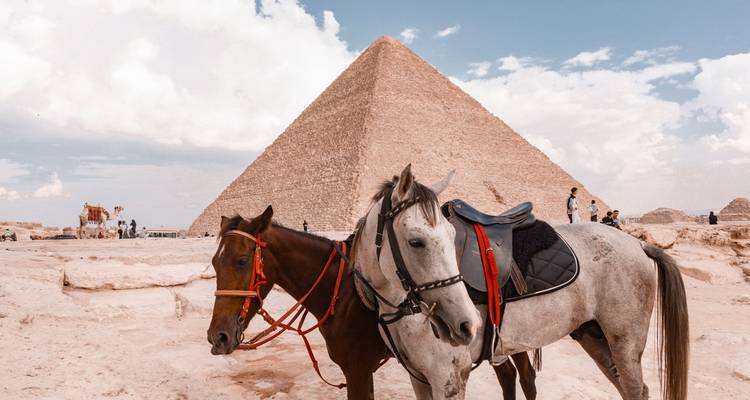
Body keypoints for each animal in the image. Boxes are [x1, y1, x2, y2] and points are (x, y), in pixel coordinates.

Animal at [355, 174, 689, 400]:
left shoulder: (448, 379)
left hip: (625, 342)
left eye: (452, 237)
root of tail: (638, 244)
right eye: (416, 242)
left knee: (634, 388)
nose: (466, 324)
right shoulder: (420, 379)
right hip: (593, 336)